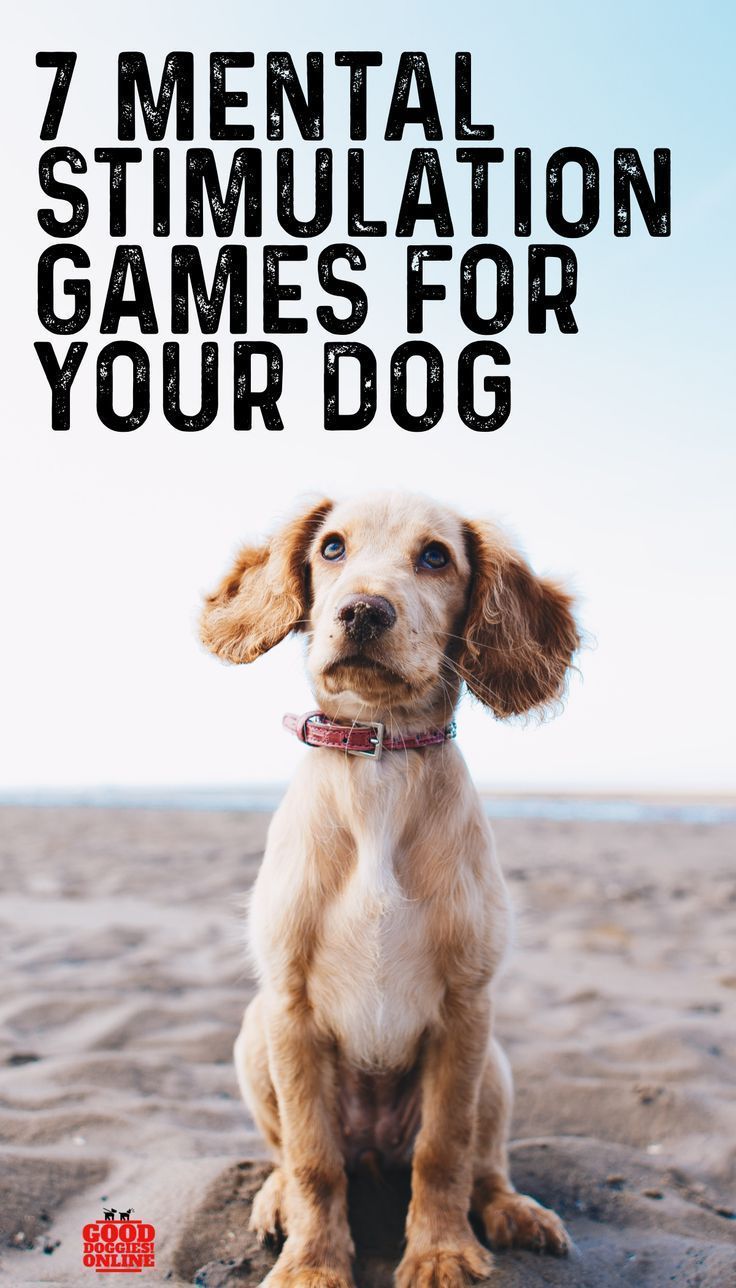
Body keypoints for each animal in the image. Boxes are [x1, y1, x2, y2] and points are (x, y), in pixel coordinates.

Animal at [199, 492, 582, 1288]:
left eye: (436, 556)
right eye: (332, 548)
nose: (364, 612)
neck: (381, 758)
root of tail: (376, 1150)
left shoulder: (466, 1007)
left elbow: (444, 1150)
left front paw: (441, 1252)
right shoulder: (289, 1009)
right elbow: (314, 1159)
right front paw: (313, 1264)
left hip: (495, 1064)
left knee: (482, 1163)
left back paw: (513, 1210)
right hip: (253, 1036)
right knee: (297, 1156)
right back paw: (276, 1200)